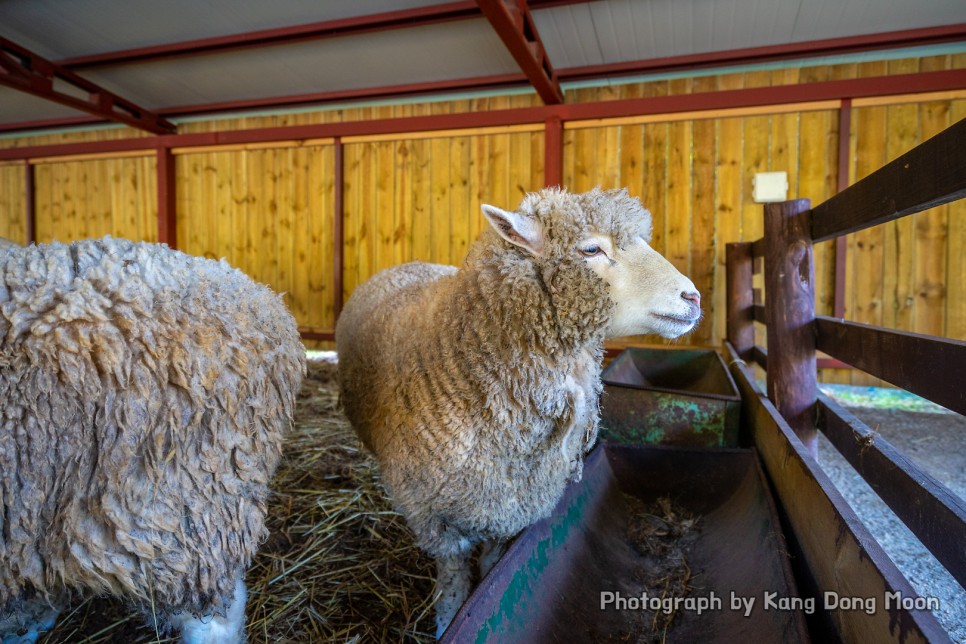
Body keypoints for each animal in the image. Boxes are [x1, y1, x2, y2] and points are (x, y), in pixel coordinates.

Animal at [338, 185, 704, 632]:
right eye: (591, 249)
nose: (692, 297)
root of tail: (407, 264)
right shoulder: (435, 516)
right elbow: (454, 578)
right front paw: (447, 620)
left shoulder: (510, 506)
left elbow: (491, 565)